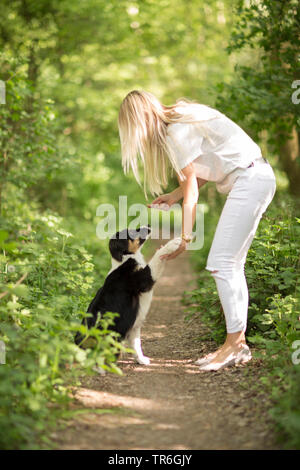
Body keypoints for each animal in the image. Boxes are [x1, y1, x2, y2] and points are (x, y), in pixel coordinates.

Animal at [76, 226, 182, 366]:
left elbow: (136, 344)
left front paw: (141, 360)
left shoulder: (134, 325)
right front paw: (172, 244)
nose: (148, 226)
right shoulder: (143, 279)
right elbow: (156, 258)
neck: (126, 259)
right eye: (131, 232)